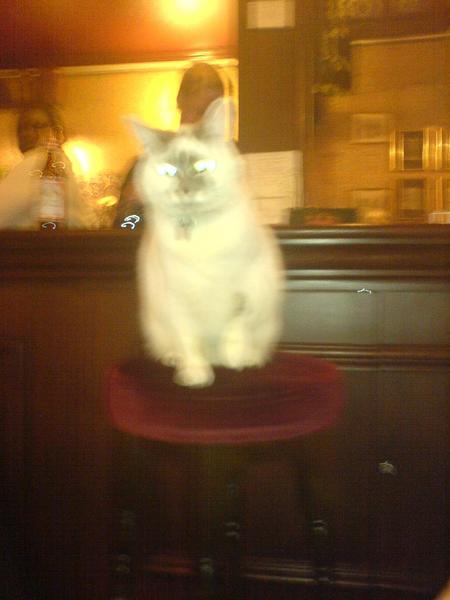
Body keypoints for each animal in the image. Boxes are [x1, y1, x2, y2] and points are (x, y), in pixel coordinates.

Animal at [128, 98, 284, 387]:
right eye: (168, 171)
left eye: (202, 167)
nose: (185, 191)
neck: (200, 231)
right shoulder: (178, 295)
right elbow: (189, 340)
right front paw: (196, 376)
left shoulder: (244, 285)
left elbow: (235, 326)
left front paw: (234, 361)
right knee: (172, 346)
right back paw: (176, 359)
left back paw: (248, 359)